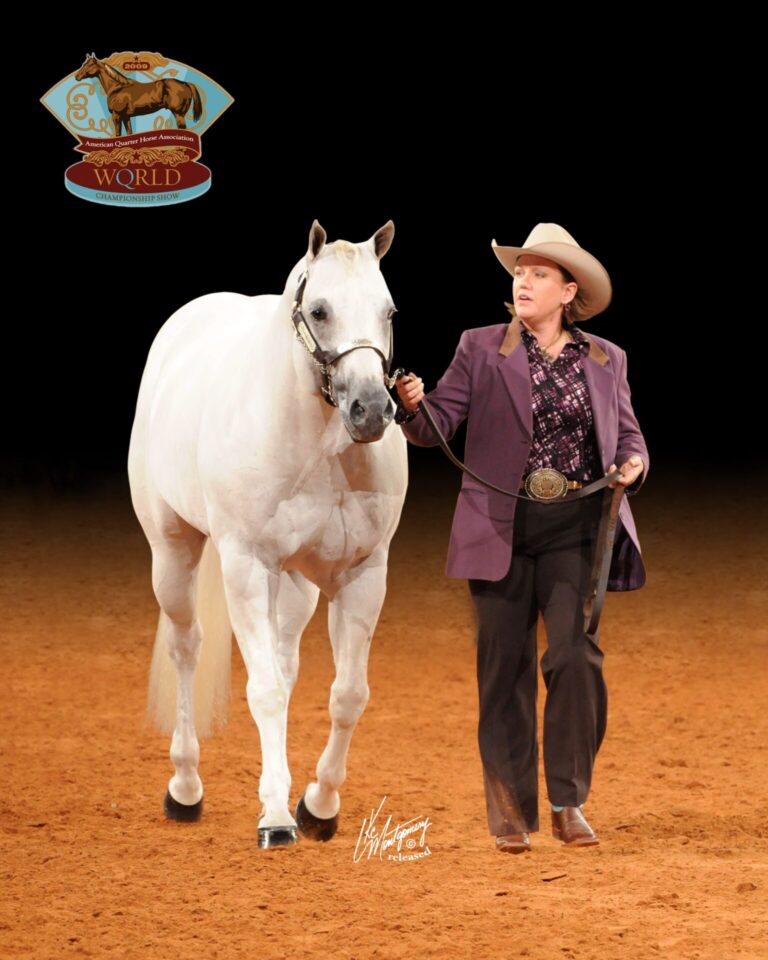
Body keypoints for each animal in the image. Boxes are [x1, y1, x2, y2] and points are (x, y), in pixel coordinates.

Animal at [74, 54, 202, 136]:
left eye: (88, 65)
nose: (77, 76)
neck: (117, 87)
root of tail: (185, 83)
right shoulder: (126, 117)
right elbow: (129, 133)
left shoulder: (116, 115)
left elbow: (118, 134)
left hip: (178, 114)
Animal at [127, 220, 408, 848]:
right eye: (321, 310)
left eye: (389, 311)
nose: (371, 411)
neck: (318, 447)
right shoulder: (248, 568)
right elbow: (265, 691)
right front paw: (277, 819)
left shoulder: (363, 574)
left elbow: (347, 695)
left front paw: (318, 804)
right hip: (173, 555)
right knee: (188, 647)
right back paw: (185, 787)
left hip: (296, 587)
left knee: (283, 661)